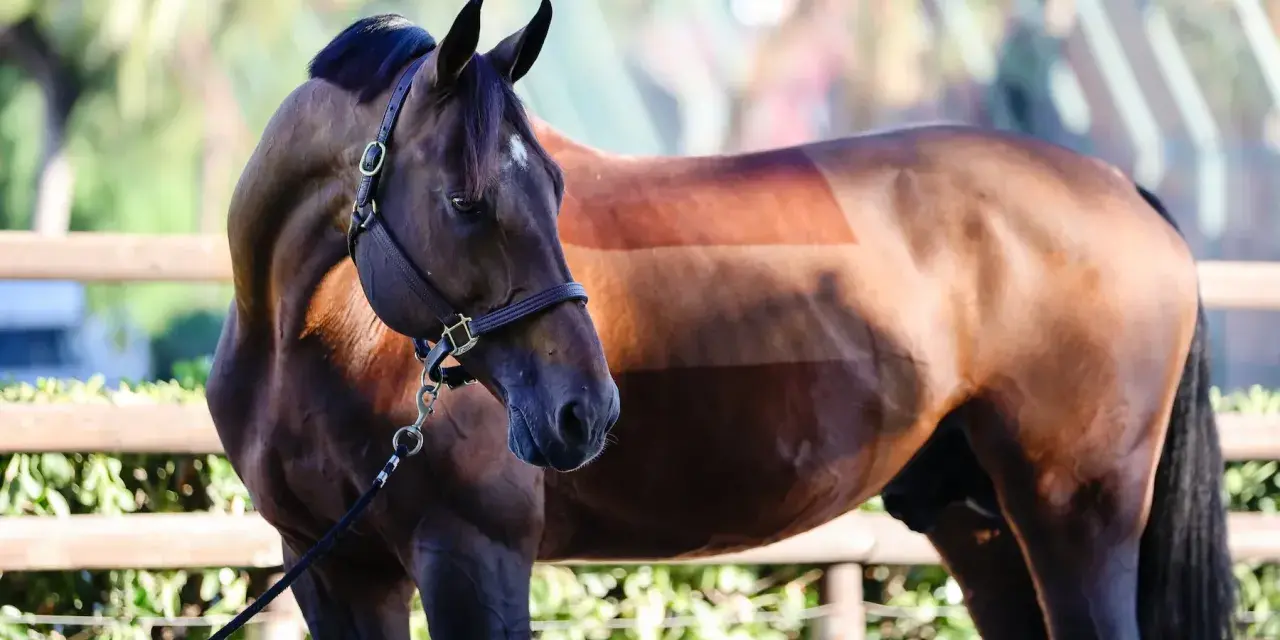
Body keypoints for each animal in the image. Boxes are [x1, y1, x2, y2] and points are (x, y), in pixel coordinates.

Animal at [206, 3, 1234, 639]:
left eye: (556, 189)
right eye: (467, 201)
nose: (586, 412)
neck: (307, 345)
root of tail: (1125, 191)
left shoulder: (473, 557)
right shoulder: (335, 571)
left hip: (1078, 516)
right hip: (978, 526)